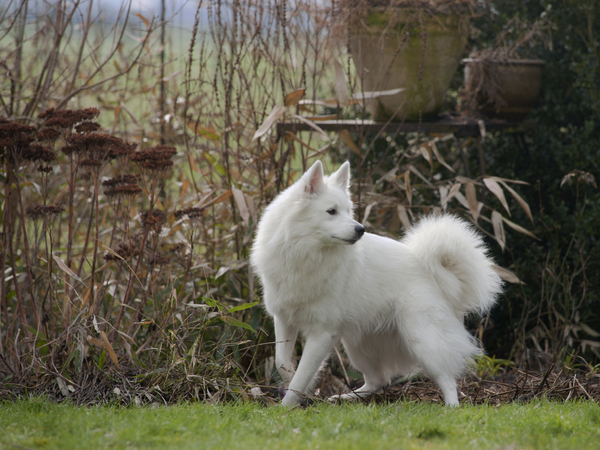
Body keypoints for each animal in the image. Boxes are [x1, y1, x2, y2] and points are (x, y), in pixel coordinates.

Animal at [248, 160, 502, 406]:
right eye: (331, 211)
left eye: (348, 211)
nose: (360, 229)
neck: (304, 253)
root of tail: (434, 272)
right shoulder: (283, 320)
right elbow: (282, 361)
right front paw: (289, 379)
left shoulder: (321, 334)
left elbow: (302, 377)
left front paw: (286, 406)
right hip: (358, 346)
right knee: (377, 381)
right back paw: (346, 398)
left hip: (421, 341)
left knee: (447, 380)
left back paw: (451, 407)